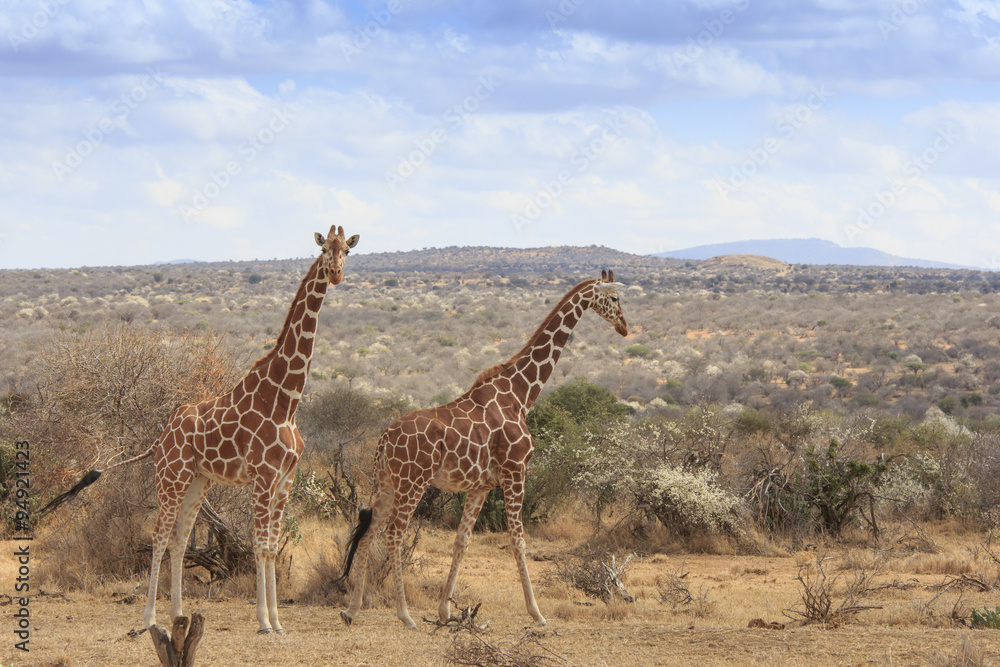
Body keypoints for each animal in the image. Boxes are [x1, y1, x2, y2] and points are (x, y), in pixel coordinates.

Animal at [41, 225, 359, 634]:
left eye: (347, 250)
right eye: (323, 250)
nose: (335, 274)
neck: (285, 399)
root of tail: (161, 435)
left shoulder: (284, 479)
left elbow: (272, 547)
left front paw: (278, 622)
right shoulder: (261, 477)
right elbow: (260, 546)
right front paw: (263, 621)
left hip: (197, 481)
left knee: (179, 540)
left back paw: (177, 615)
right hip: (171, 477)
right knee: (160, 536)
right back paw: (149, 619)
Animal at [338, 270, 628, 629]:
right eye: (614, 298)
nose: (624, 326)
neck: (521, 394)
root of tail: (383, 439)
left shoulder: (481, 486)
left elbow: (462, 542)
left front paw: (445, 611)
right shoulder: (516, 472)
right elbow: (518, 540)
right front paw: (537, 612)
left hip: (387, 483)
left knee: (367, 533)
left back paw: (352, 609)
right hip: (412, 483)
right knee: (394, 535)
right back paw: (404, 615)